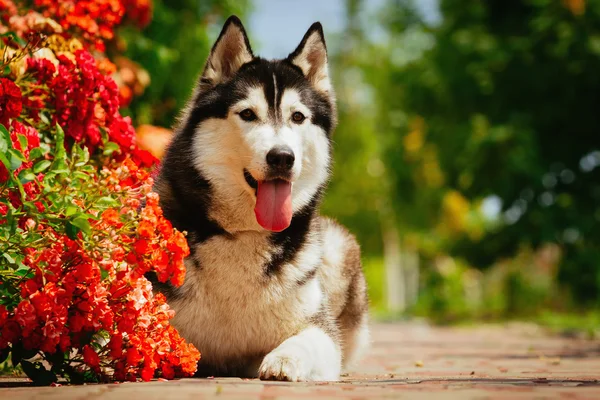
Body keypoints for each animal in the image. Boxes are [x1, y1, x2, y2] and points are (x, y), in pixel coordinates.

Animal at [152, 15, 368, 382]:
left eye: (298, 117)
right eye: (248, 114)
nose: (282, 157)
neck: (244, 233)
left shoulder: (322, 333)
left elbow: (309, 340)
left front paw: (285, 358)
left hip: (339, 246)